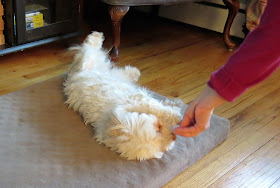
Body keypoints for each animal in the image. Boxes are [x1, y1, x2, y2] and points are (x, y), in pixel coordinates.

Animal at [65, 32, 184, 160]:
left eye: (159, 127)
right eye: (161, 147)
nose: (174, 137)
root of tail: (74, 74)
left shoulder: (136, 100)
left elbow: (159, 108)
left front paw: (176, 109)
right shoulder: (138, 99)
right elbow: (160, 108)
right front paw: (177, 115)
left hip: (94, 65)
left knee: (90, 48)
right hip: (91, 64)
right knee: (89, 48)